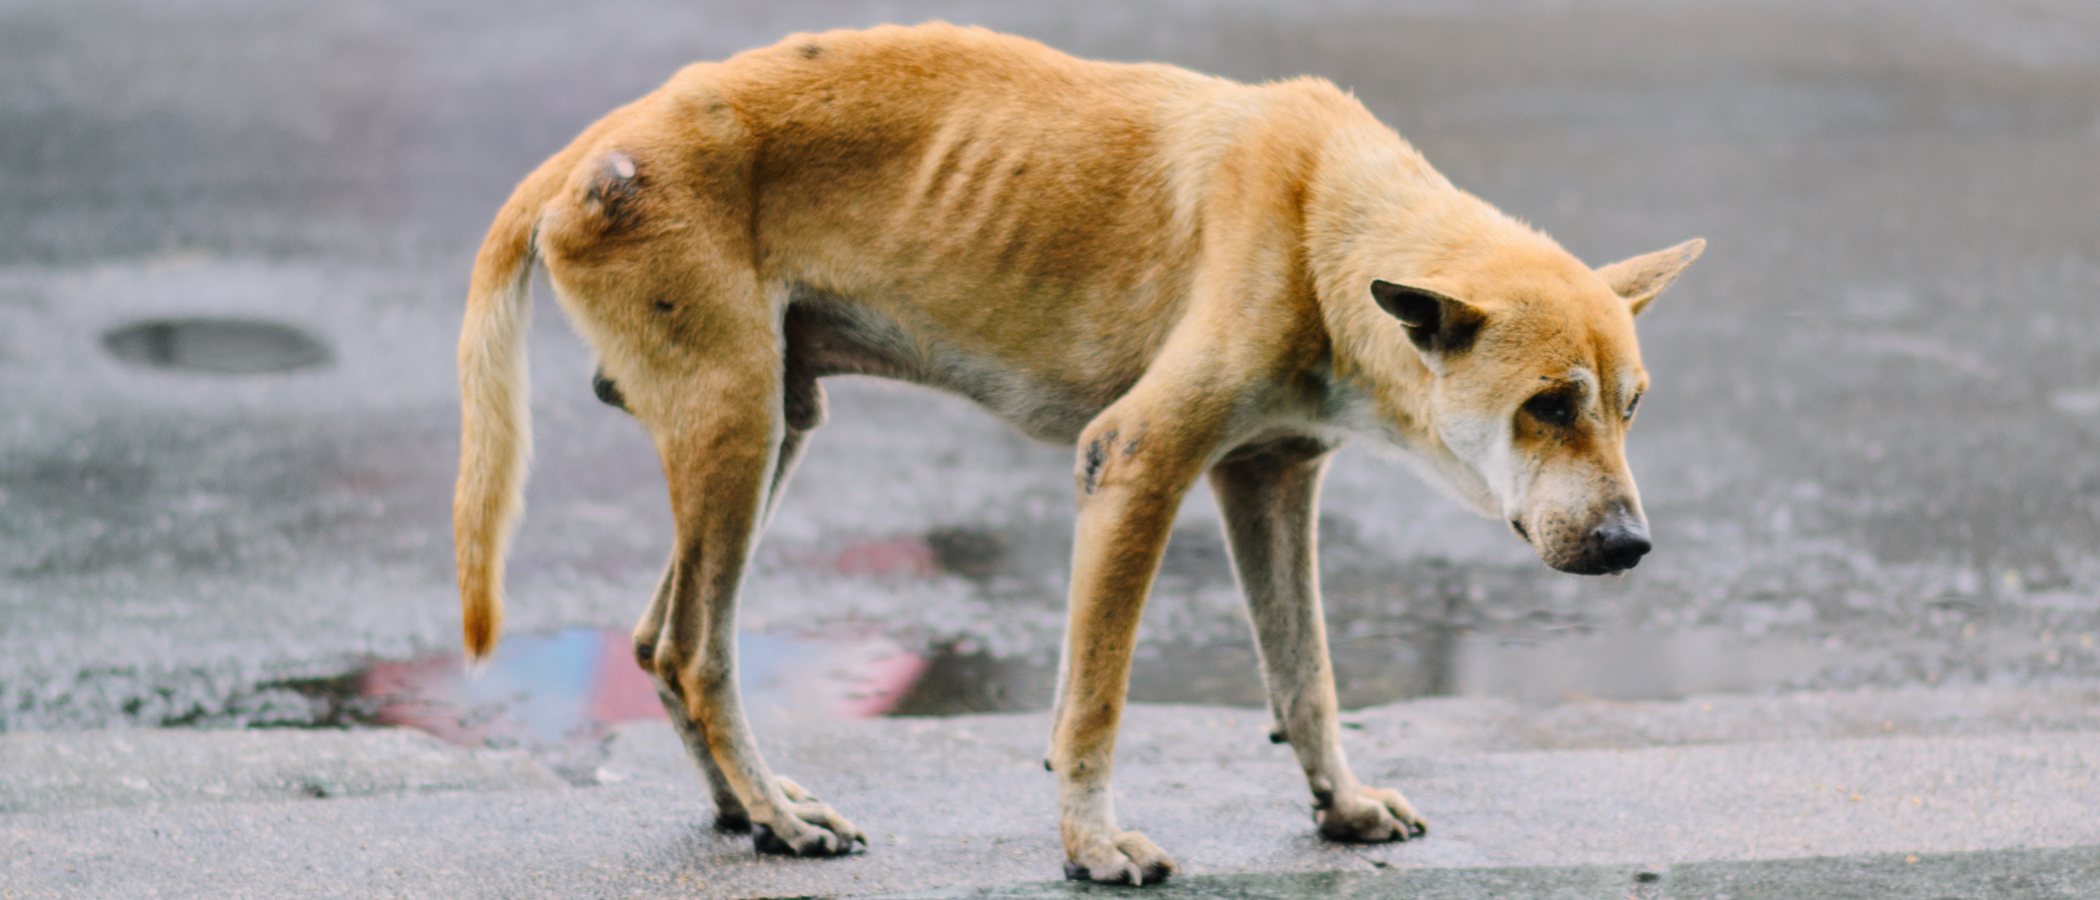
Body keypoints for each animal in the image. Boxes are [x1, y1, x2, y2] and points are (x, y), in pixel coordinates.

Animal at [451, 20, 1696, 885]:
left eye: (1631, 406)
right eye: (1547, 405)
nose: (1632, 545)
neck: (1326, 220)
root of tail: (593, 145)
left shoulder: (1270, 481)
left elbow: (1307, 673)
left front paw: (1338, 804)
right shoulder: (1134, 465)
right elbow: (1095, 700)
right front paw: (1091, 846)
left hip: (769, 430)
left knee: (656, 644)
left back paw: (742, 810)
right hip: (734, 425)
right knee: (699, 651)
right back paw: (779, 818)